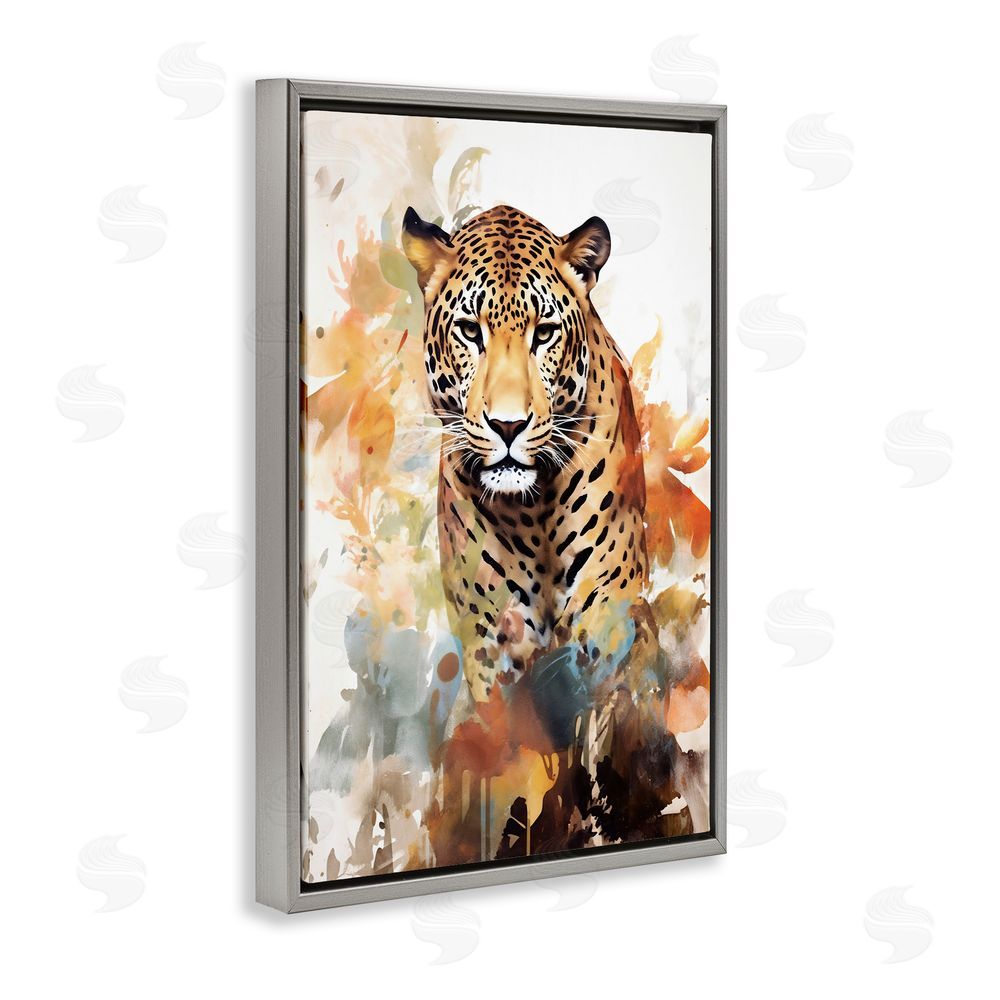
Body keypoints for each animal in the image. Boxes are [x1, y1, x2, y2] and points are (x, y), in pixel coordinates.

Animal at [403, 204, 650, 705]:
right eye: (470, 331)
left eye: (545, 334)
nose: (508, 425)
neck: (532, 512)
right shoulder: (489, 640)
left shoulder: (606, 617)